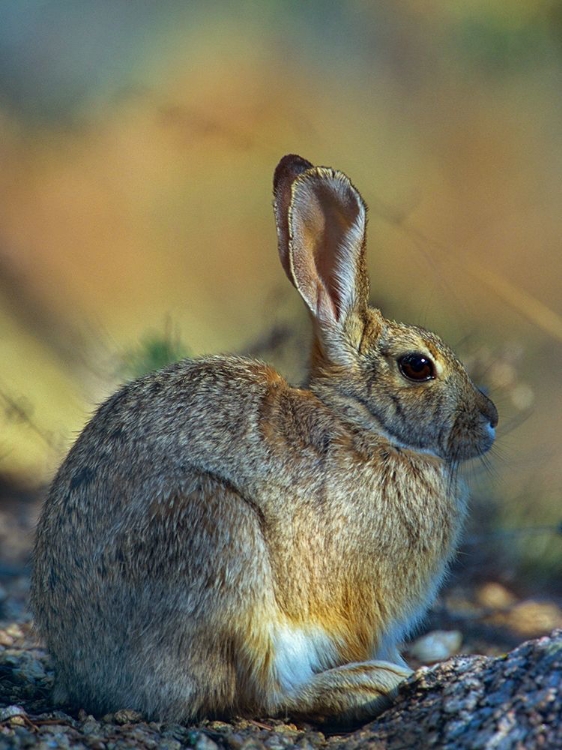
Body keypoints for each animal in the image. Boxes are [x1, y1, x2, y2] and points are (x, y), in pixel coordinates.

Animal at [30, 154, 496, 728]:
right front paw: (398, 671)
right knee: (262, 693)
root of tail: (88, 678)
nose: (490, 418)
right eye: (418, 366)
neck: (363, 424)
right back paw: (366, 685)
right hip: (219, 544)